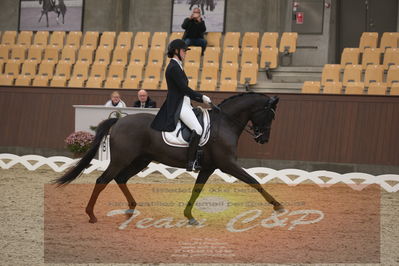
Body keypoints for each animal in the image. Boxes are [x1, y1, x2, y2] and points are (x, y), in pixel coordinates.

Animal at [56, 93, 286, 224]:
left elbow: (196, 190)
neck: (224, 124)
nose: (263, 139)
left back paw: (130, 209)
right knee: (102, 180)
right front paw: (277, 205)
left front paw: (189, 216)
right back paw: (91, 215)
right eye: (270, 115)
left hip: (141, 160)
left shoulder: (209, 167)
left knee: (121, 178)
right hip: (121, 159)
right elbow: (254, 181)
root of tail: (119, 121)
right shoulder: (228, 164)